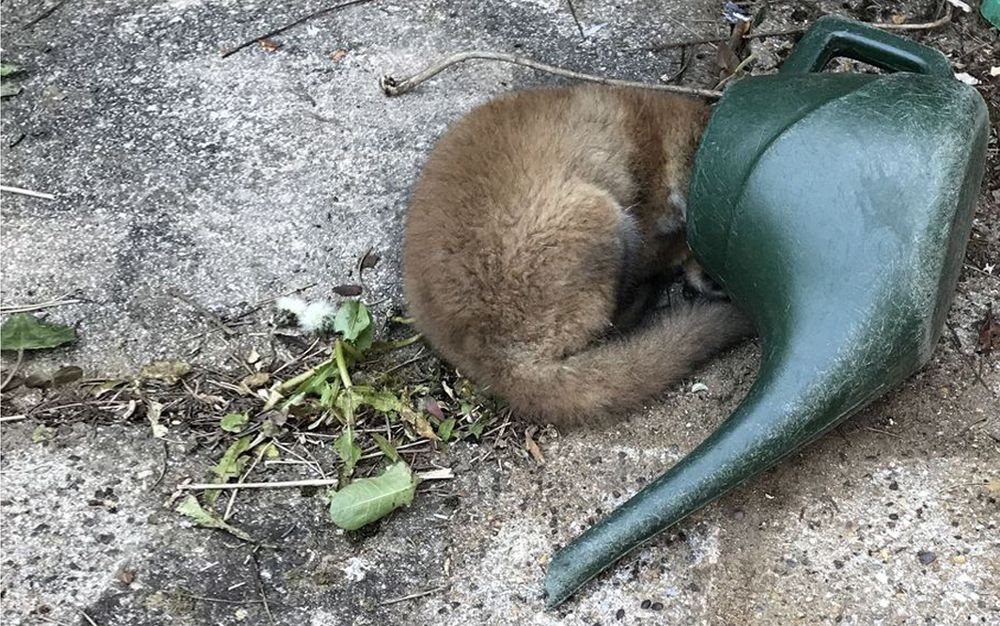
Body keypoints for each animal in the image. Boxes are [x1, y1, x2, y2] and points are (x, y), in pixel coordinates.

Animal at [402, 85, 752, 427]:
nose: (712, 283)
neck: (654, 138)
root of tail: (488, 355)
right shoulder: (647, 222)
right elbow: (672, 247)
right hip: (604, 219)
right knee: (616, 321)